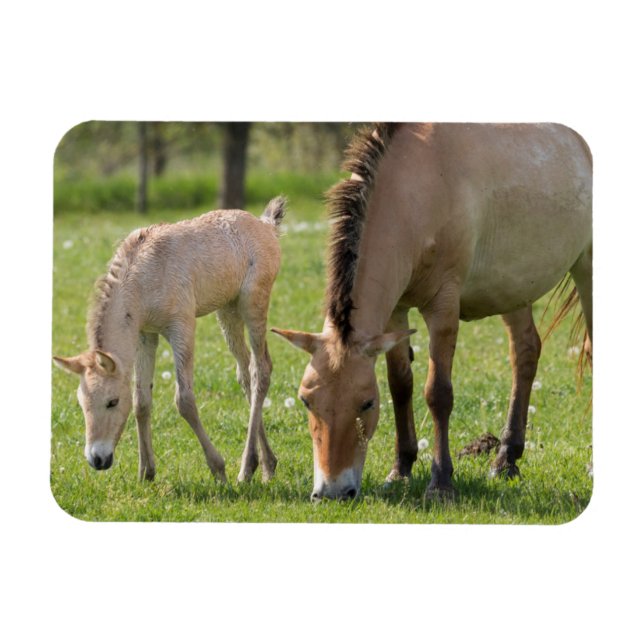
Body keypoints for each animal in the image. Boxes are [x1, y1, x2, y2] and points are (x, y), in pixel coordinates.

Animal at [54, 197, 286, 484]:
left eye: (112, 402)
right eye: (81, 404)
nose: (97, 459)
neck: (145, 277)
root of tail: (266, 226)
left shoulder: (181, 327)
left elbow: (184, 401)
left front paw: (218, 468)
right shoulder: (145, 335)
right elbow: (141, 401)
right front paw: (146, 472)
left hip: (253, 303)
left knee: (261, 370)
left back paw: (245, 469)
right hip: (228, 310)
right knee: (246, 374)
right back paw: (265, 465)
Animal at [273, 123, 592, 501]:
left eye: (367, 403)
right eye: (306, 401)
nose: (333, 492)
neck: (415, 187)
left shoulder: (443, 308)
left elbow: (438, 393)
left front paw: (441, 483)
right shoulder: (395, 313)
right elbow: (400, 385)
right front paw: (400, 470)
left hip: (586, 268)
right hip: (513, 289)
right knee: (526, 352)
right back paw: (505, 459)